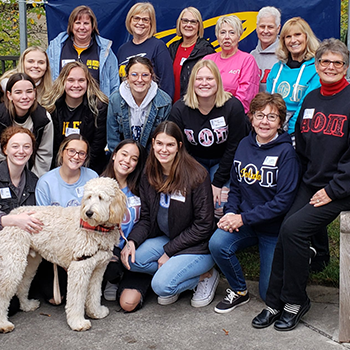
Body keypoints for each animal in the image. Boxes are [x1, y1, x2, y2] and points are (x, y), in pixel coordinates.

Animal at [0, 178, 126, 334]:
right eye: (89, 197)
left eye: (101, 197)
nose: (89, 213)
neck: (97, 229)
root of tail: (13, 212)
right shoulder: (79, 267)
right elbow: (76, 298)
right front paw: (78, 322)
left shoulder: (98, 269)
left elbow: (95, 293)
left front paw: (96, 312)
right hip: (12, 262)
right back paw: (3, 324)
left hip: (30, 262)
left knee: (23, 283)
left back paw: (27, 305)